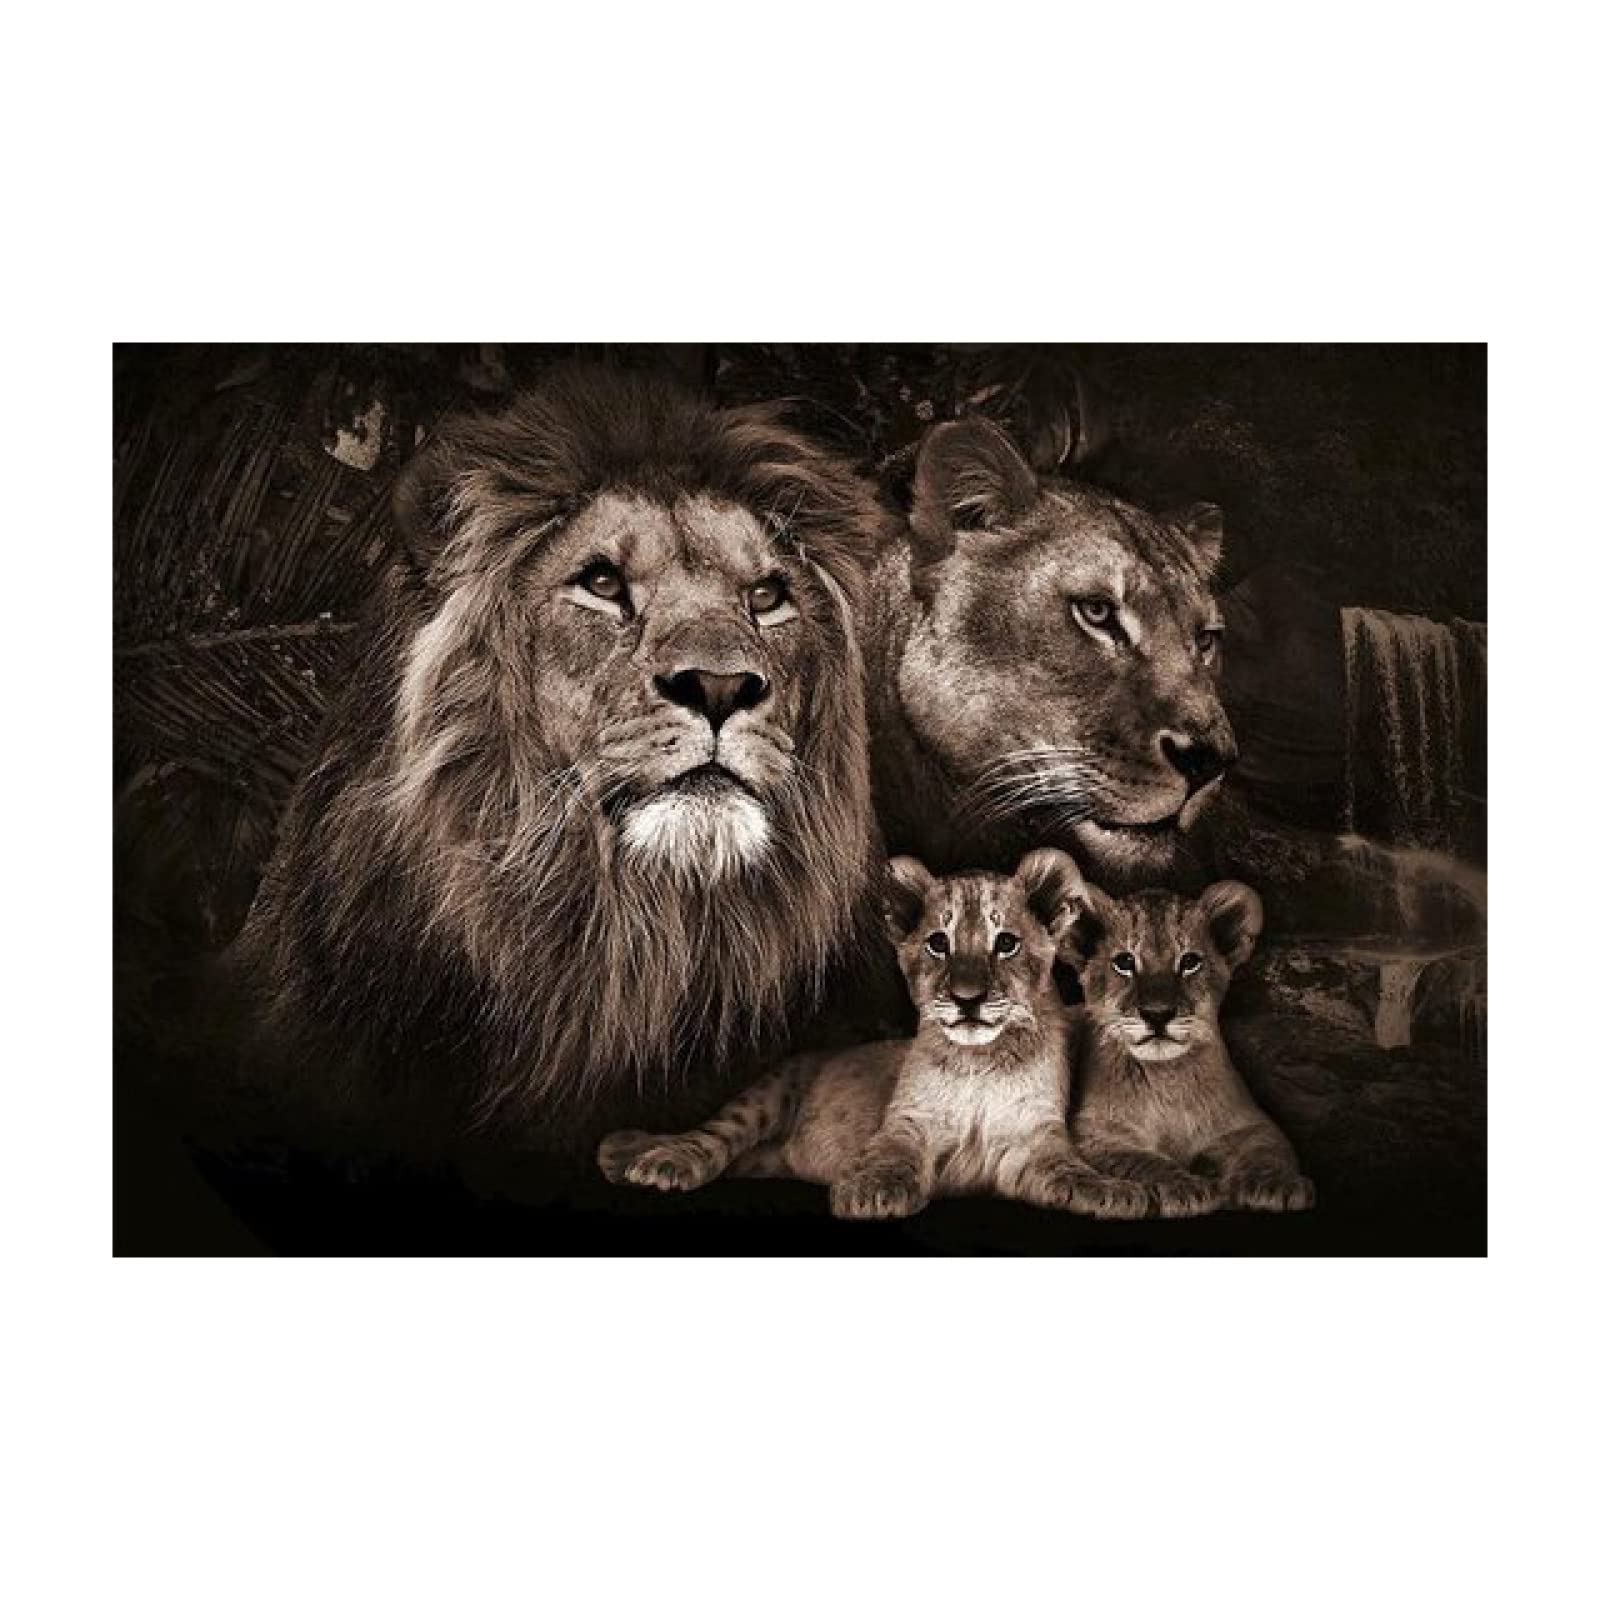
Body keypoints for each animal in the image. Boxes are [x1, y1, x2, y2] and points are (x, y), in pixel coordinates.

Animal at [597, 850, 1145, 1221]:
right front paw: (869, 1190)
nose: (967, 998)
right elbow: (891, 1155)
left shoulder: (1031, 1141)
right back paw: (654, 1158)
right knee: (713, 1136)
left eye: (1005, 943)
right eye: (938, 943)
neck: (979, 1062)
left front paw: (1113, 1190)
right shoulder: (906, 1122)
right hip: (766, 1093)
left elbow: (1068, 1170)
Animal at [1060, 874, 1315, 1216]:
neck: (1168, 1079)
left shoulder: (1252, 1124)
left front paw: (1276, 1185)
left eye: (1190, 962)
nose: (1157, 1014)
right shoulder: (1095, 1133)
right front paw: (1187, 1188)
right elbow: (1142, 1160)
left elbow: (1268, 1152)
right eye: (1124, 962)